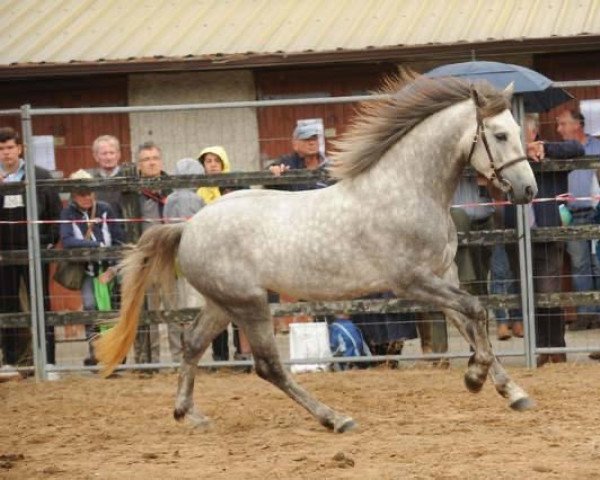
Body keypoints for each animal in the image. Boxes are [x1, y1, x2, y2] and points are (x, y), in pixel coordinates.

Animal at [96, 75, 536, 432]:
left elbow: (470, 321)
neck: (406, 190)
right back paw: (336, 419)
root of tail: (188, 227)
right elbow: (477, 310)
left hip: (223, 303)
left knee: (191, 344)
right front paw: (474, 379)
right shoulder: (412, 282)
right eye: (499, 135)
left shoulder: (443, 276)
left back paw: (190, 415)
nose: (528, 190)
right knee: (268, 367)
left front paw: (513, 392)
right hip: (250, 304)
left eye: (518, 130)